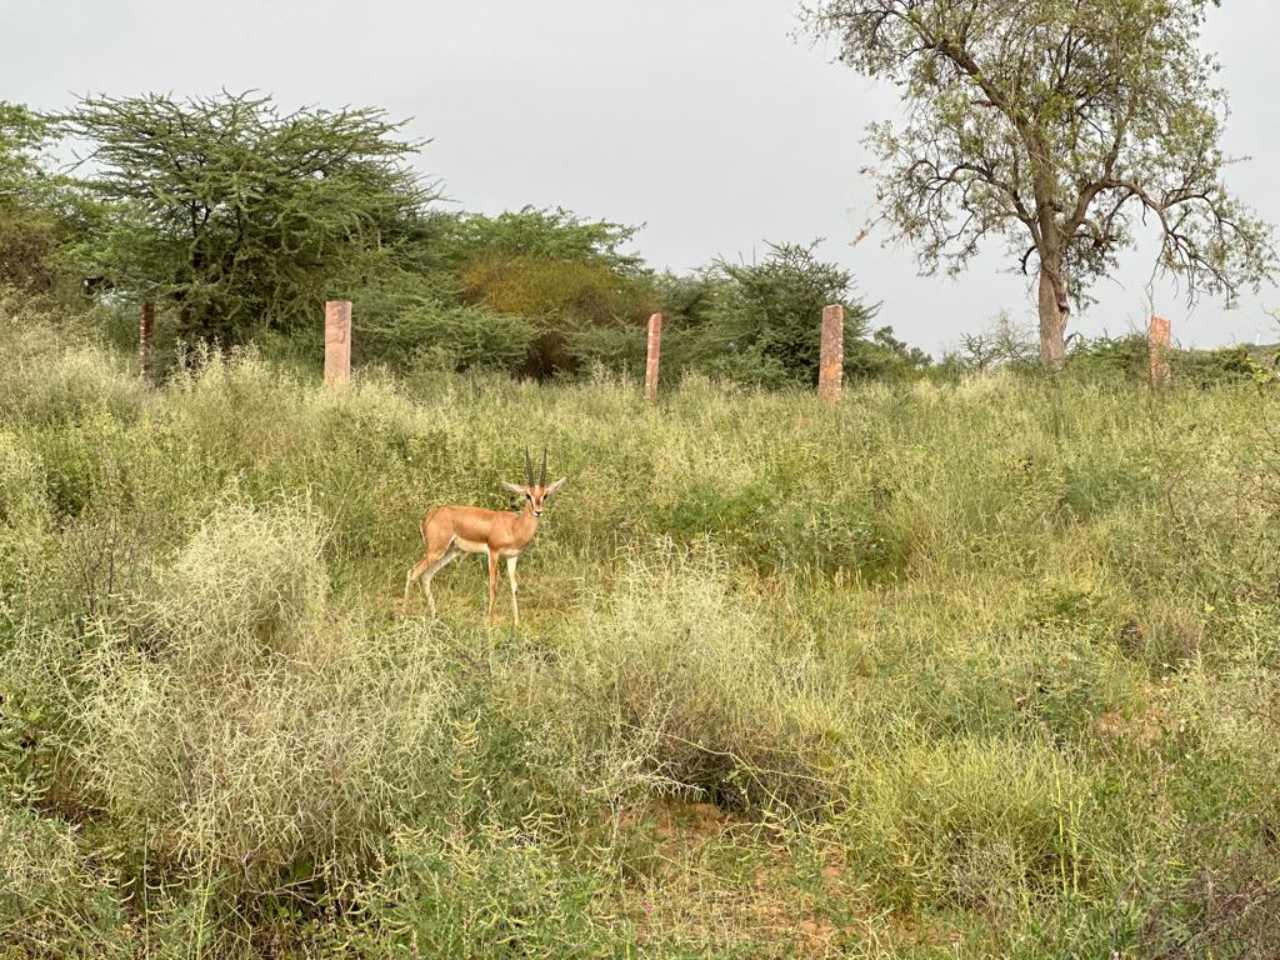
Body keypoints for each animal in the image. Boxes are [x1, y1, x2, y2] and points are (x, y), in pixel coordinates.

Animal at [404, 447, 566, 625]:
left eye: (545, 495)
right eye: (527, 495)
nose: (538, 511)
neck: (514, 526)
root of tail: (427, 517)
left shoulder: (512, 557)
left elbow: (514, 587)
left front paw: (517, 623)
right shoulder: (493, 552)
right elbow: (493, 585)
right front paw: (490, 621)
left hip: (450, 552)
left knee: (425, 576)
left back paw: (434, 616)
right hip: (435, 551)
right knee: (412, 572)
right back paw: (403, 615)